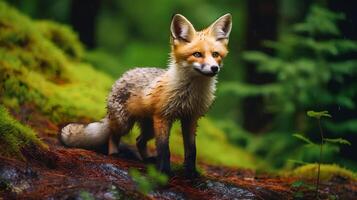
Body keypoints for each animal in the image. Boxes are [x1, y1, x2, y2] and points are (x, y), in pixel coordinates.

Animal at [59, 13, 232, 177]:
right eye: (197, 54)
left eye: (215, 54)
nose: (214, 68)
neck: (190, 94)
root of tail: (123, 76)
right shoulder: (163, 117)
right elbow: (164, 149)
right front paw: (164, 172)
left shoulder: (191, 119)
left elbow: (191, 150)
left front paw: (191, 173)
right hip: (125, 123)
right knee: (113, 135)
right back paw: (115, 153)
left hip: (149, 128)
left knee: (139, 141)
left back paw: (147, 159)